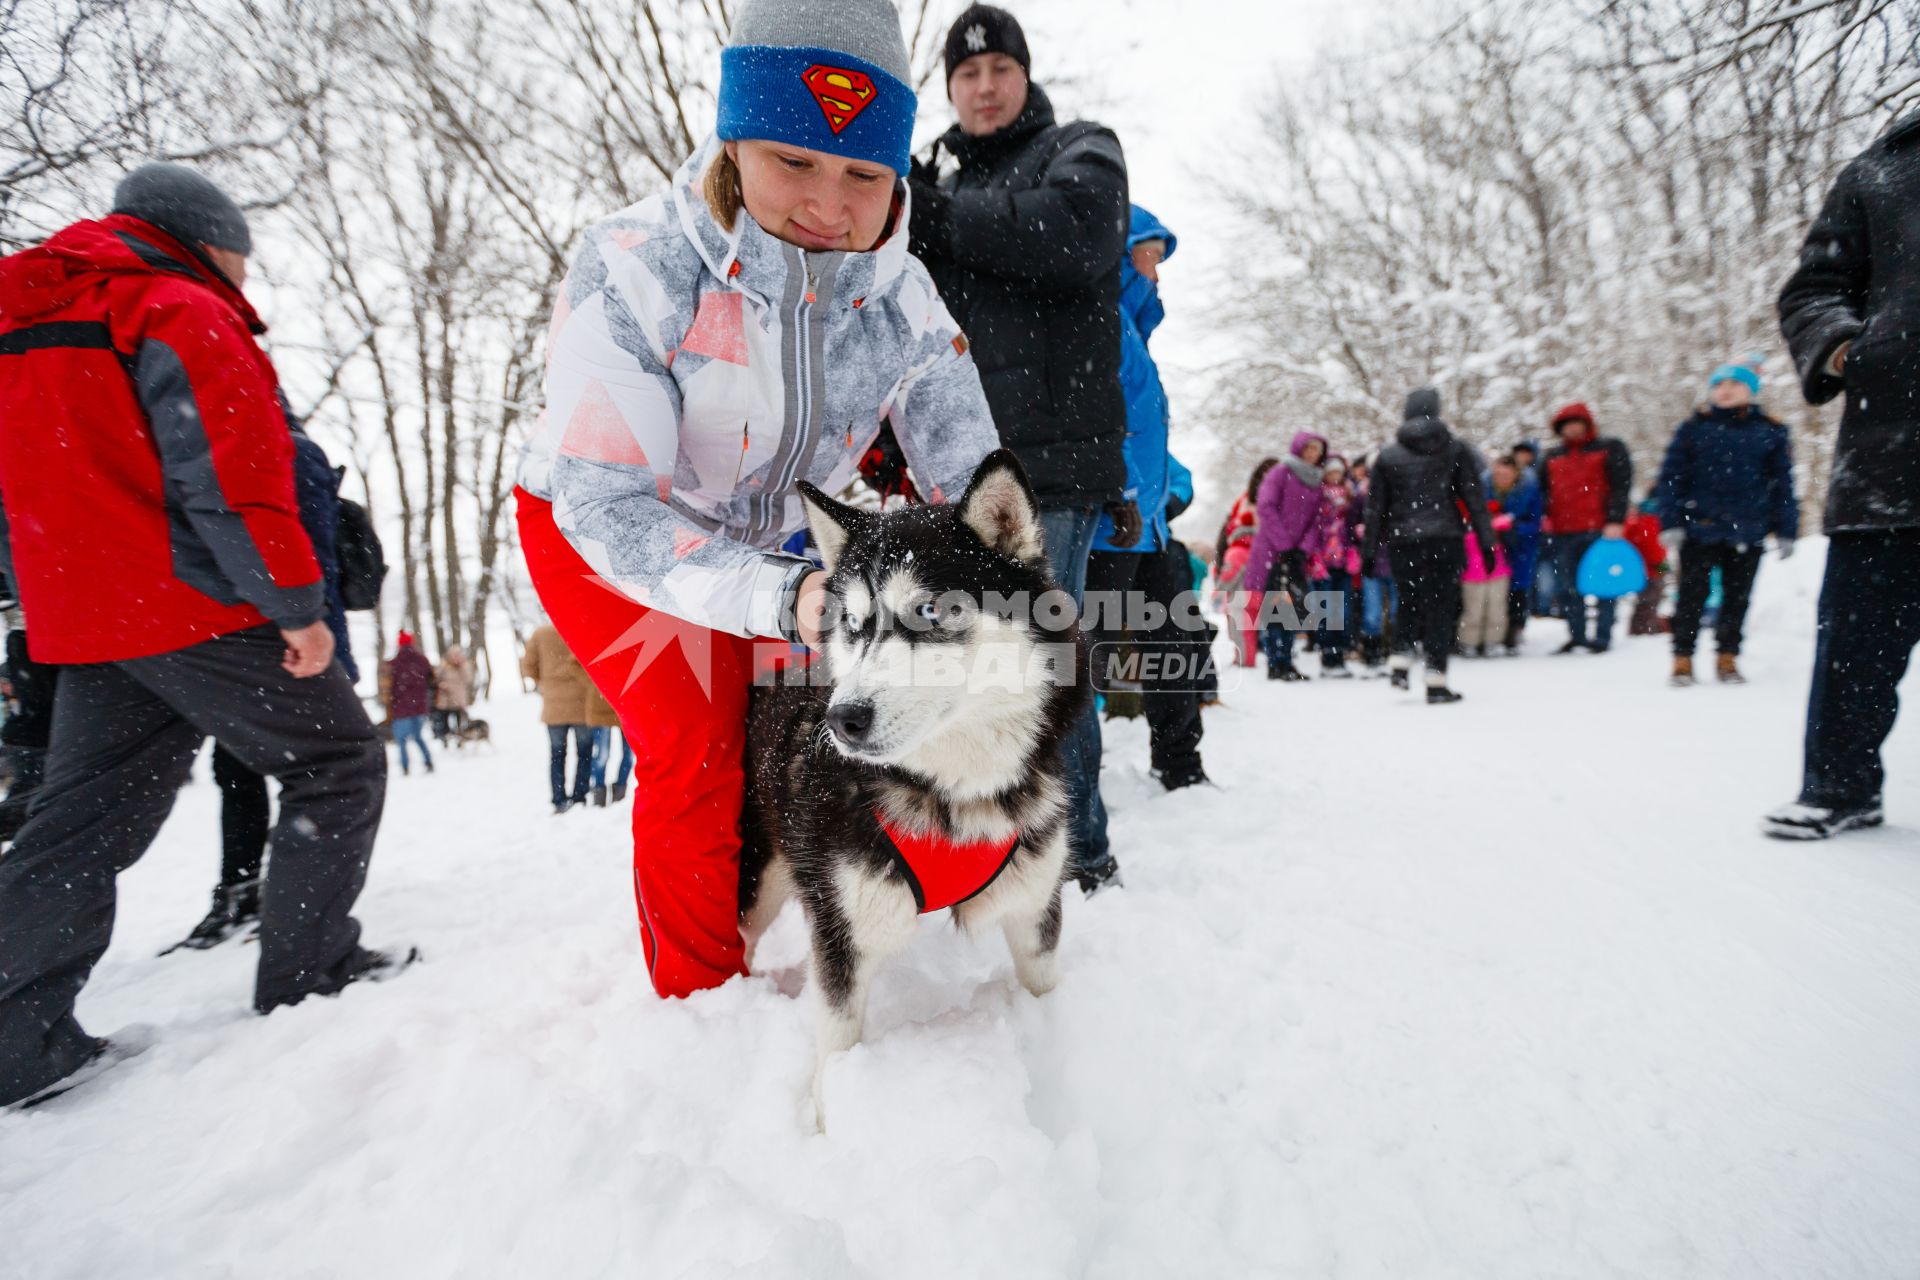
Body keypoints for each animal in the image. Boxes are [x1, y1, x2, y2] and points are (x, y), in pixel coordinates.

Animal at [741, 452, 1090, 1120]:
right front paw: (824, 1124)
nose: (843, 719)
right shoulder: (841, 934)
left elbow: (1042, 986)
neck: (949, 791)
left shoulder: (1036, 907)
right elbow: (835, 1052)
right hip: (760, 882)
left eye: (931, 611)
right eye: (853, 623)